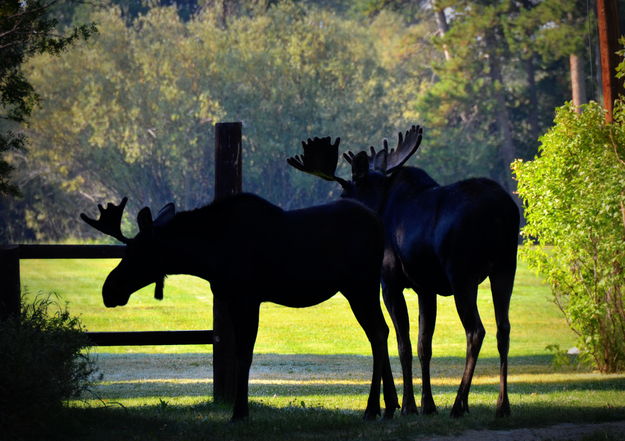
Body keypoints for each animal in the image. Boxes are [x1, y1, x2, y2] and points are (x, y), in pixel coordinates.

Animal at [80, 192, 398, 420]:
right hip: (361, 287)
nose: (109, 290)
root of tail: (380, 223)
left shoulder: (247, 297)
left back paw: (373, 409)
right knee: (381, 332)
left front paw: (240, 412)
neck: (206, 258)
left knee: (377, 332)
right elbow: (237, 354)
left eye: (138, 251)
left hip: (360, 285)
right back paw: (391, 406)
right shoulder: (232, 299)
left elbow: (244, 354)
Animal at [286, 125, 516, 418]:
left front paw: (406, 405)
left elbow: (402, 343)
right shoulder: (426, 287)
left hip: (462, 275)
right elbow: (423, 344)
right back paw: (501, 405)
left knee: (476, 330)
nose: (341, 207)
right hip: (505, 266)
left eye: (344, 192)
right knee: (503, 329)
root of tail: (502, 212)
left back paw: (458, 403)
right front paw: (427, 404)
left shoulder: (391, 283)